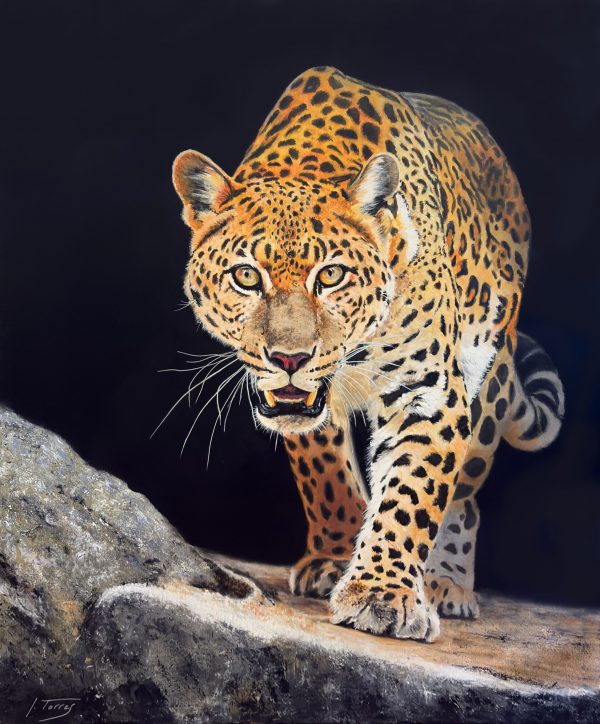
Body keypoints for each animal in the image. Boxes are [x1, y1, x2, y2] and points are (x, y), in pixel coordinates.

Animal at [171, 66, 564, 642]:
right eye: (246, 276)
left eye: (331, 275)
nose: (289, 358)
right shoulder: (298, 404)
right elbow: (326, 475)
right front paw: (336, 558)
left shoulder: (429, 391)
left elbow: (412, 494)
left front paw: (384, 593)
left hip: (490, 378)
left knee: (465, 495)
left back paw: (446, 584)